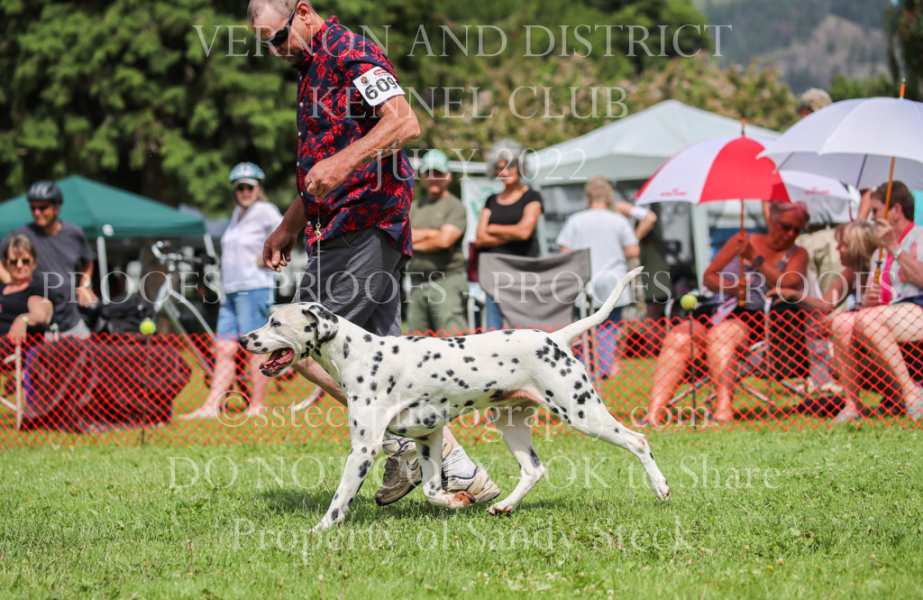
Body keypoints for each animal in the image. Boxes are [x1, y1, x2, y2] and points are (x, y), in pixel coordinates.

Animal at [239, 267, 670, 530]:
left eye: (275, 322)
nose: (244, 339)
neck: (358, 353)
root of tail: (556, 337)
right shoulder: (427, 436)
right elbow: (432, 492)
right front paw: (459, 501)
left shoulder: (364, 449)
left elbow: (339, 500)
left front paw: (320, 529)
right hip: (510, 424)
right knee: (534, 470)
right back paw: (504, 505)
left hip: (583, 413)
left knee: (638, 440)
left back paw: (662, 488)